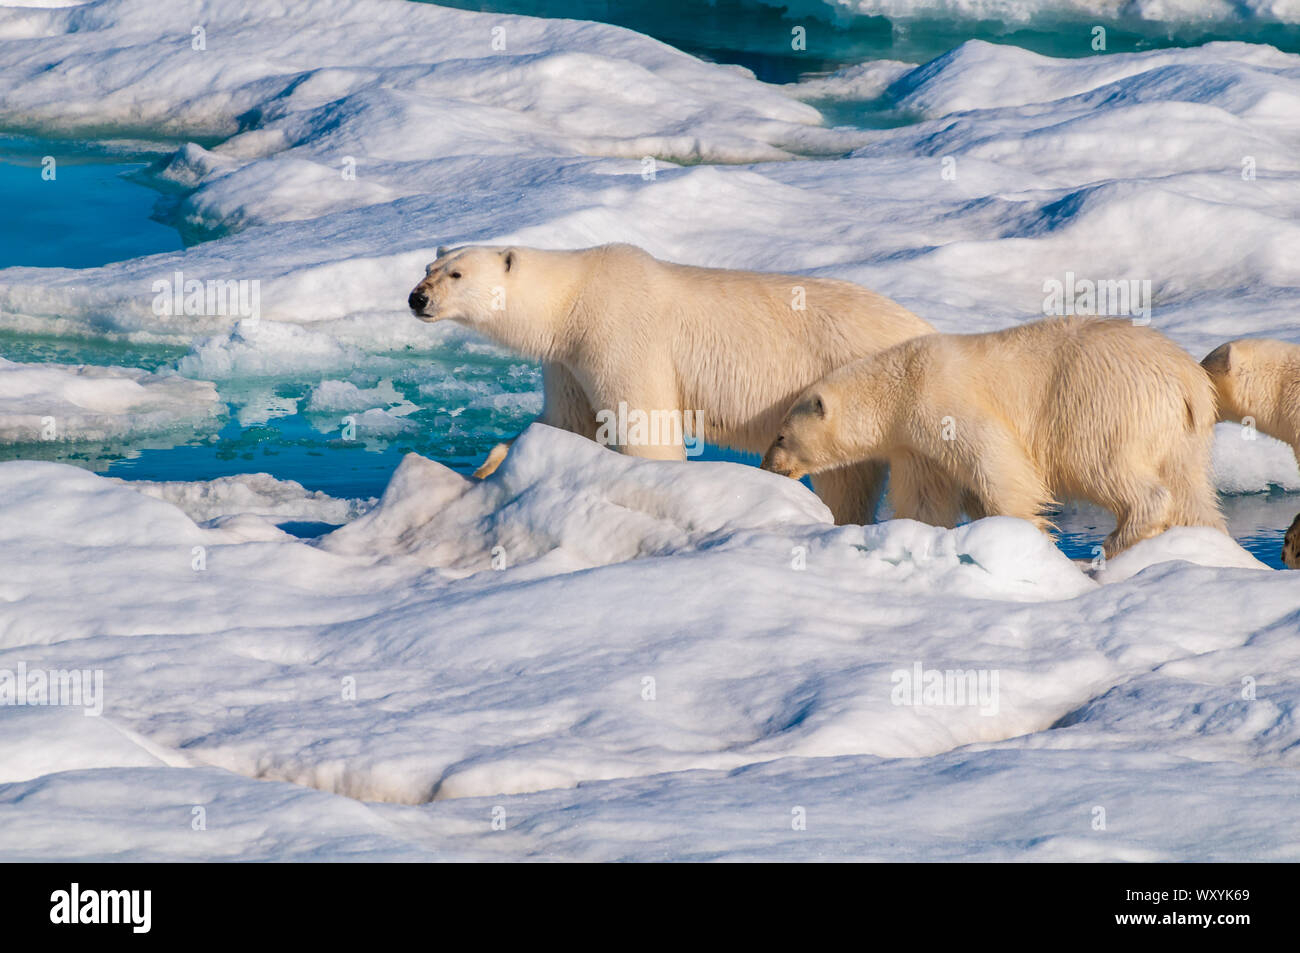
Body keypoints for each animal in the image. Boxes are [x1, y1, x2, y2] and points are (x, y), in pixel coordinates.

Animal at [407, 243, 936, 524]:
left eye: (457, 273)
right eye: (429, 268)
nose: (417, 298)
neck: (575, 298)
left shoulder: (619, 335)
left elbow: (645, 426)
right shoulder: (568, 361)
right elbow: (567, 420)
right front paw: (489, 466)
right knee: (850, 476)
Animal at [760, 317, 1226, 558]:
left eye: (780, 436)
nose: (767, 466)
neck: (899, 384)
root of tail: (1187, 377)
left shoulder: (943, 402)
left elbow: (999, 466)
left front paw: (1026, 534)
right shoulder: (914, 444)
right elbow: (926, 498)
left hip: (1103, 405)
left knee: (1104, 466)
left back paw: (1119, 538)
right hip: (1182, 432)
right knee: (1191, 489)